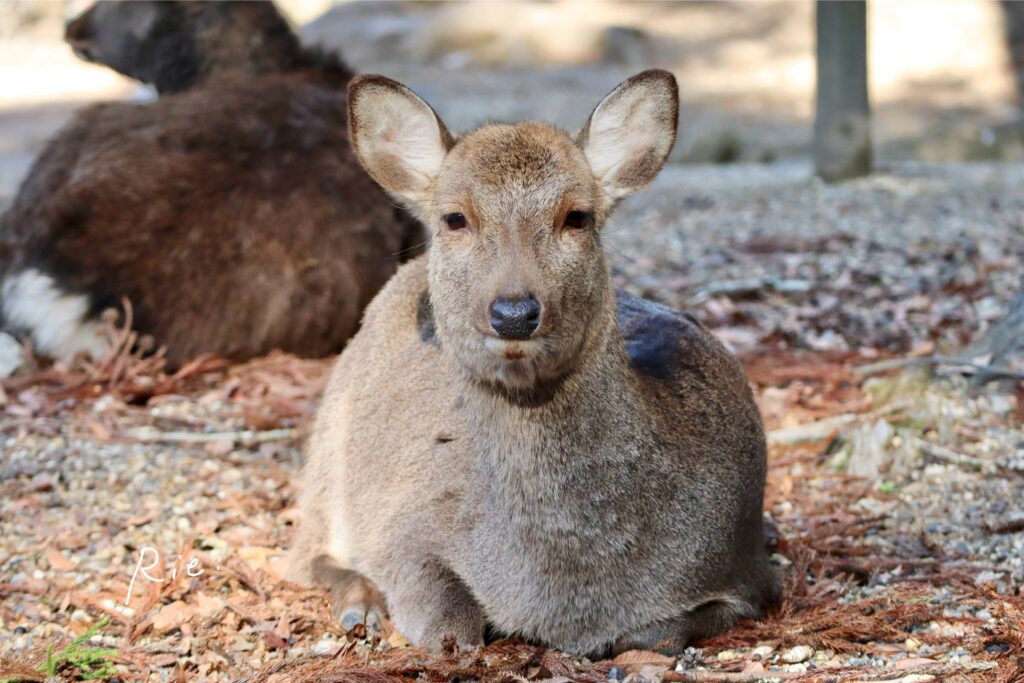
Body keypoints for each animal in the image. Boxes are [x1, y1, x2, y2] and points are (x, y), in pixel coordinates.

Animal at [289, 69, 780, 657]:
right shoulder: (405, 525)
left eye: (577, 216)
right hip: (326, 455)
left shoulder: (749, 571)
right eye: (454, 218)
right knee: (305, 552)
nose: (514, 313)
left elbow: (659, 633)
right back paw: (359, 607)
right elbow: (451, 627)